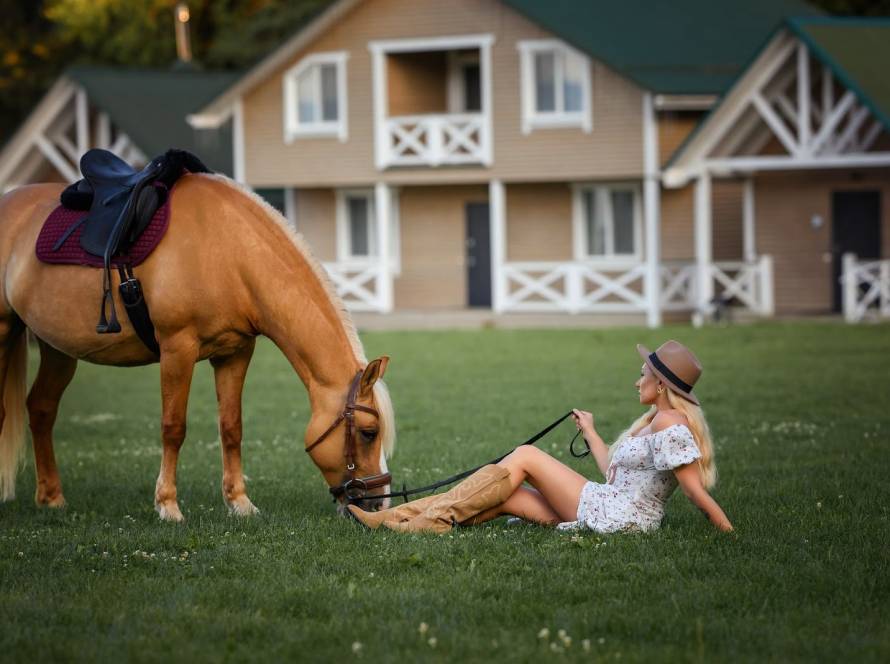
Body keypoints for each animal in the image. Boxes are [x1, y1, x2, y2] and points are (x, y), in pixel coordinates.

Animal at [0, 173, 395, 521]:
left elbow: (231, 427)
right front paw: (168, 505)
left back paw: (51, 498)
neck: (229, 252)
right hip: (6, 332)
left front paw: (240, 504)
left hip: (58, 348)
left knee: (41, 409)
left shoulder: (234, 354)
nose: (380, 504)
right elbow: (173, 427)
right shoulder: (178, 349)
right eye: (368, 432)